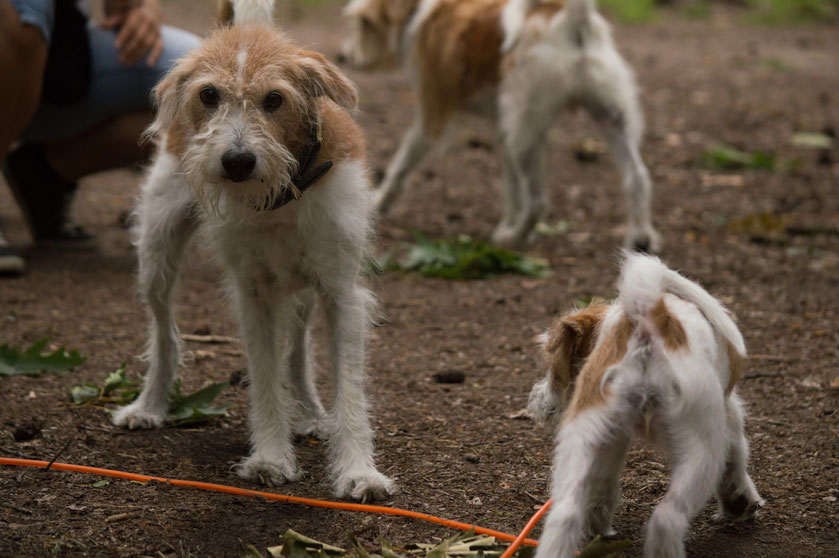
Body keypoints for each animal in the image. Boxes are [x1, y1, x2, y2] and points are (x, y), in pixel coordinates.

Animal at [111, 0, 398, 504]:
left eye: (274, 100)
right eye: (209, 95)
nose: (237, 162)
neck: (282, 194)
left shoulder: (341, 293)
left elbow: (349, 389)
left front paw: (359, 472)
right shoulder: (255, 296)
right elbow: (264, 377)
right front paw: (271, 458)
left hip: (304, 289)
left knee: (298, 351)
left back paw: (310, 412)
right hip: (157, 254)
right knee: (165, 335)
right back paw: (149, 404)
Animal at [342, 0, 664, 250]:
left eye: (365, 22)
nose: (342, 56)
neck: (418, 12)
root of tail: (573, 18)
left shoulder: (432, 118)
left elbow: (399, 166)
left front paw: (376, 203)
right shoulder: (502, 130)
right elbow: (511, 188)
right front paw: (506, 221)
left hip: (523, 134)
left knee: (538, 202)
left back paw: (513, 238)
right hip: (606, 119)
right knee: (637, 178)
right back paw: (640, 239)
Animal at [536, 255, 764, 558]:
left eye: (553, 364)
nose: (540, 405)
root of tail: (648, 320)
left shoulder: (612, 439)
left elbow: (602, 485)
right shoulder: (730, 413)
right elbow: (737, 456)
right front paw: (740, 502)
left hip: (580, 438)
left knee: (565, 515)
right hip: (702, 451)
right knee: (667, 519)